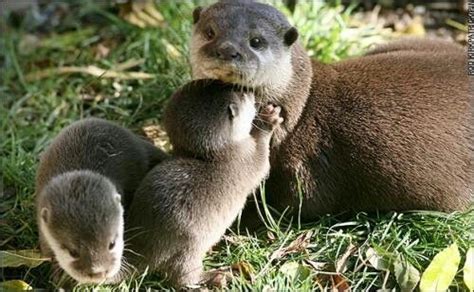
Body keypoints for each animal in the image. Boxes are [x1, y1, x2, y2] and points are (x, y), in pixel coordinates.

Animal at [121, 80, 282, 288]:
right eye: (243, 94)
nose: (250, 90)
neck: (219, 154)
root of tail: (144, 248)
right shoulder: (245, 157)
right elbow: (261, 161)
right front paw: (267, 120)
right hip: (189, 248)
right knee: (182, 277)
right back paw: (215, 277)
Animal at [191, 1, 472, 222]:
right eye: (210, 32)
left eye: (256, 41)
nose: (227, 50)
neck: (297, 112)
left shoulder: (302, 171)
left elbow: (292, 206)